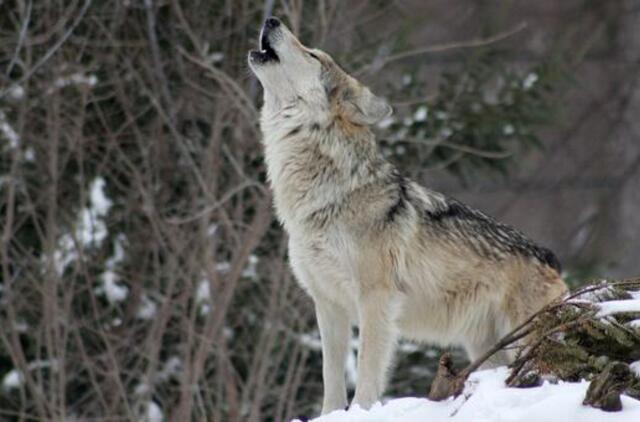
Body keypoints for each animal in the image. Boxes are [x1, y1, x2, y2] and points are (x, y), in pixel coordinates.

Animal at [248, 17, 568, 416]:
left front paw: (362, 412)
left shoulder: (376, 299)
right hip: (486, 349)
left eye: (313, 54)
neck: (327, 195)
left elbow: (367, 370)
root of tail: (550, 256)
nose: (271, 19)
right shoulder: (328, 304)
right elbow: (331, 378)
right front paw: (331, 416)